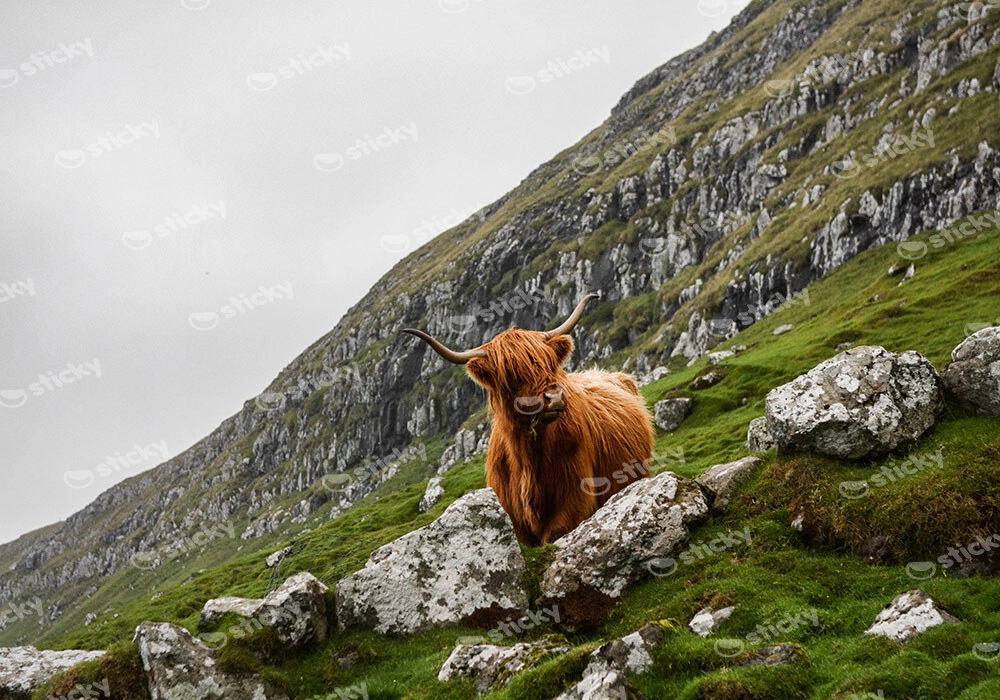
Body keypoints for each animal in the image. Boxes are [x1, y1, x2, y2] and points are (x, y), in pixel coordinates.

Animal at [403, 293, 655, 545]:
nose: (555, 398)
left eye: (550, 364)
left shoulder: (574, 501)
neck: (528, 460)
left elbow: (555, 533)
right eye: (512, 376)